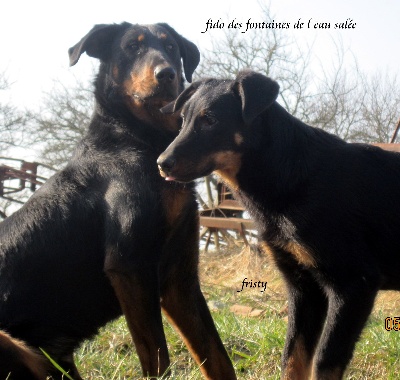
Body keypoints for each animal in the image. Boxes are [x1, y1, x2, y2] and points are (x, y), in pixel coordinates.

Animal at [0, 22, 238, 378]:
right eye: (131, 48)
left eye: (171, 47)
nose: (167, 75)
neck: (138, 139)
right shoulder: (129, 265)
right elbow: (157, 359)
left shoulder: (179, 277)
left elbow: (218, 357)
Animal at [157, 70, 400, 378]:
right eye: (183, 121)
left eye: (210, 120)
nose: (161, 163)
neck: (289, 174)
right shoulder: (303, 288)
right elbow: (292, 359)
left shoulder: (354, 285)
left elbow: (323, 362)